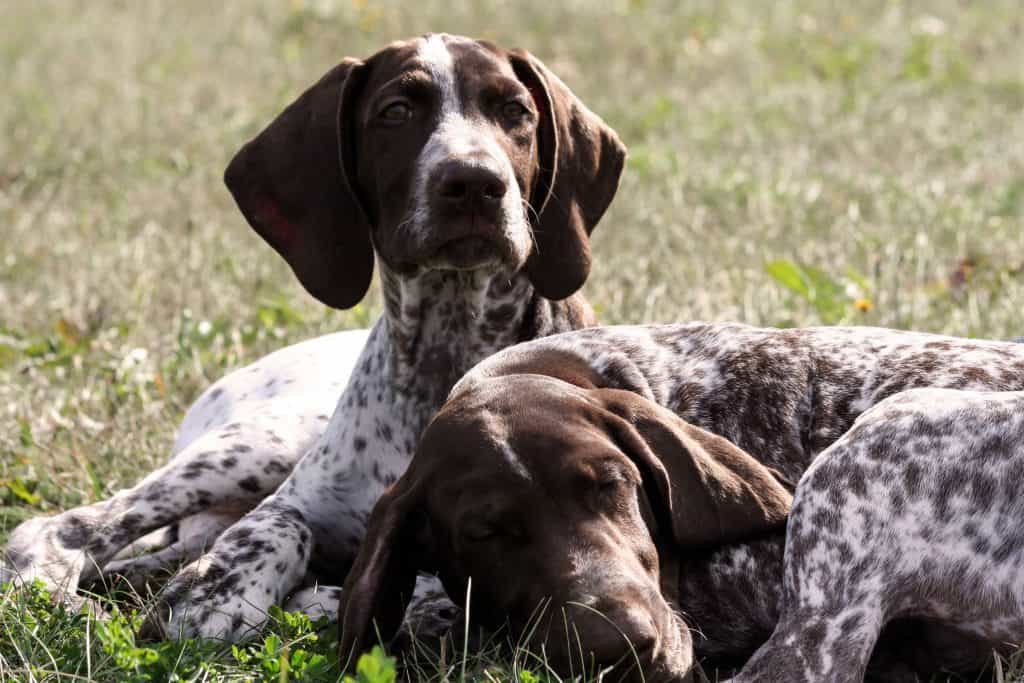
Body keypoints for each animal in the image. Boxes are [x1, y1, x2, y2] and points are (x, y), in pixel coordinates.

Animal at [0, 31, 626, 643]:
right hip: (258, 446)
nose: (474, 181)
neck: (448, 351)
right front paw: (222, 591)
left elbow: (438, 590)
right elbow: (281, 529)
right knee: (63, 528)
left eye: (514, 111)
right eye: (396, 112)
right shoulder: (299, 500)